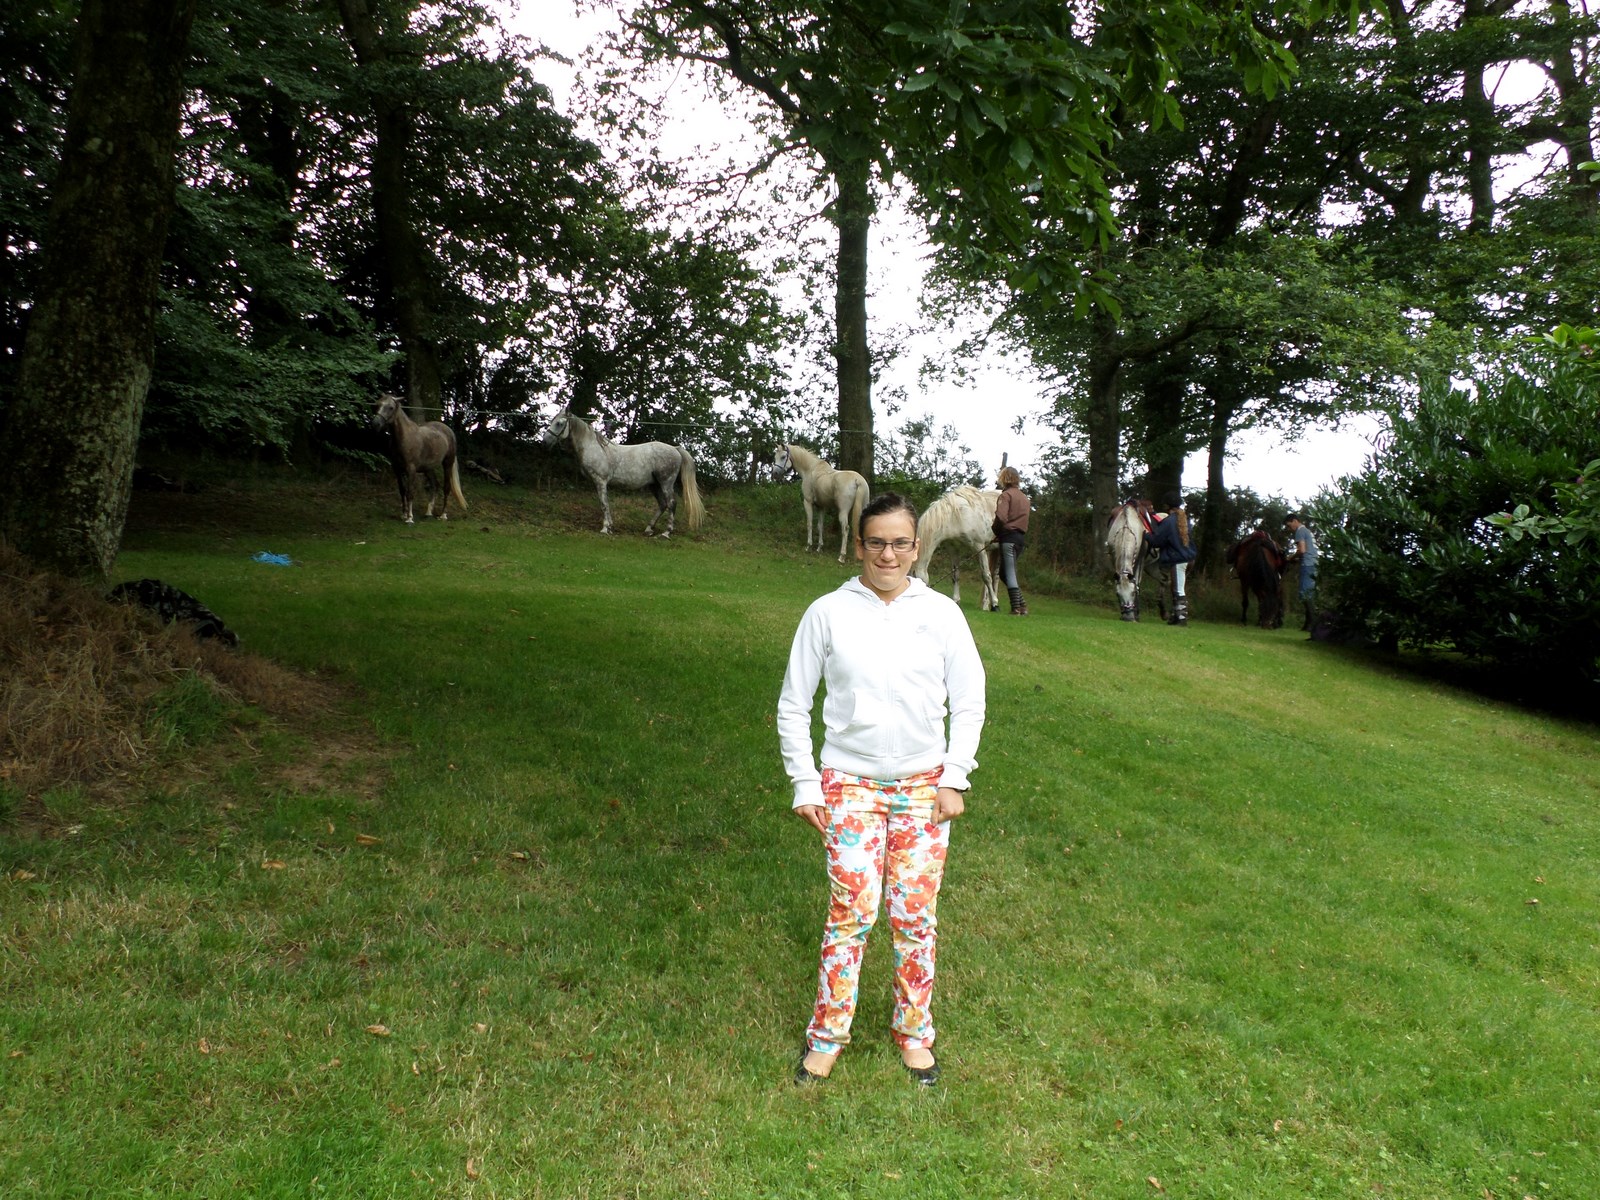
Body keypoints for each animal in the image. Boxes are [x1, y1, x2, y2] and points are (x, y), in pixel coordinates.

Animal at [371, 393, 467, 524]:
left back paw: (442, 515)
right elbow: (402, 491)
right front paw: (404, 514)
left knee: (446, 488)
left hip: (447, 463)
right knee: (434, 485)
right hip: (428, 468)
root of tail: (448, 431)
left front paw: (410, 518)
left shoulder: (411, 469)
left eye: (390, 407)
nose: (376, 424)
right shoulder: (397, 469)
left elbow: (410, 492)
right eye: (378, 404)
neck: (404, 437)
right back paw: (428, 512)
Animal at [541, 410, 704, 537]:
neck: (595, 447)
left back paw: (666, 532)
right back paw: (649, 529)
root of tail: (675, 449)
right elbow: (606, 504)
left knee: (671, 503)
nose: (545, 442)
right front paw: (610, 527)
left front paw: (605, 528)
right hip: (654, 485)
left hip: (666, 483)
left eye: (559, 423)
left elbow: (604, 504)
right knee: (663, 504)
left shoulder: (600, 481)